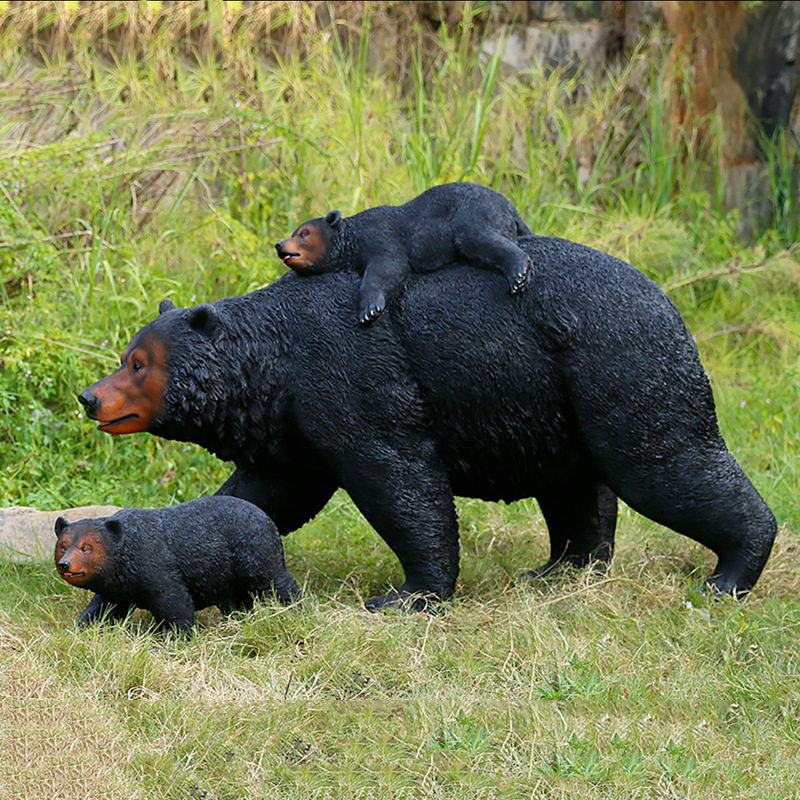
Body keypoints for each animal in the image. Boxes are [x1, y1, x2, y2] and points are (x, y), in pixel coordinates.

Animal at [54, 496, 301, 632]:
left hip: (254, 552)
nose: (65, 564)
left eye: (86, 547)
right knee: (236, 599)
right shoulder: (118, 587)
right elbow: (102, 608)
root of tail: (268, 519)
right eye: (63, 546)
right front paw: (80, 629)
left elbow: (175, 603)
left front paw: (171, 637)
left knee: (275, 581)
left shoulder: (155, 565)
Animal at [78, 233, 777, 611]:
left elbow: (398, 477)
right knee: (576, 486)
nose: (90, 397)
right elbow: (267, 493)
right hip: (553, 403)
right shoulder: (294, 424)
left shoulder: (351, 377)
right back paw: (561, 570)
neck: (274, 365)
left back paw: (729, 573)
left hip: (619, 365)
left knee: (663, 460)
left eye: (138, 363)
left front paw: (406, 595)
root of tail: (668, 299)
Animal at [275, 182, 534, 323]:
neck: (353, 239)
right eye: (294, 232)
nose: (279, 245)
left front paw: (369, 310)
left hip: (474, 212)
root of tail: (510, 205)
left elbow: (388, 268)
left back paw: (518, 275)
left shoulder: (381, 237)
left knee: (478, 238)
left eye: (303, 233)